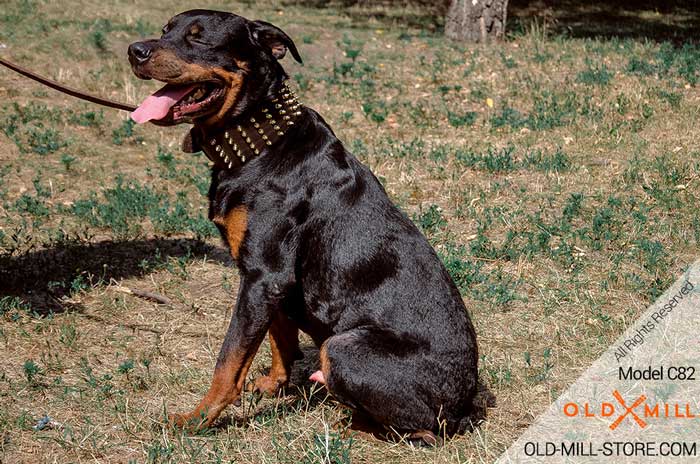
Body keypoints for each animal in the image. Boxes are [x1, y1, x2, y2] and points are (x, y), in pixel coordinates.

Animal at [127, 8, 476, 442]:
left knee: (419, 430)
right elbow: (279, 336)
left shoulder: (265, 275)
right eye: (165, 31)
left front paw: (198, 419)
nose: (134, 50)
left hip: (344, 346)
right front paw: (274, 385)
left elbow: (228, 361)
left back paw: (348, 424)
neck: (259, 143)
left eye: (199, 38)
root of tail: (463, 410)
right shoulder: (268, 280)